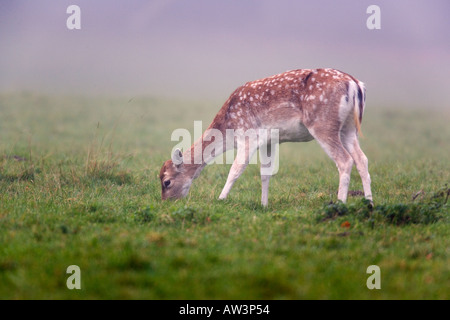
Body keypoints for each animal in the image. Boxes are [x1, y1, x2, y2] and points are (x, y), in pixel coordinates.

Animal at [160, 68, 370, 206]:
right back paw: (369, 202)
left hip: (323, 124)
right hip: (348, 128)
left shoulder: (247, 135)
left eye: (166, 181)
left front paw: (220, 198)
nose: (166, 202)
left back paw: (340, 203)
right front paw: (263, 205)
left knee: (345, 160)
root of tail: (355, 85)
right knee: (362, 159)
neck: (228, 128)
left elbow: (236, 169)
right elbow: (265, 173)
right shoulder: (269, 141)